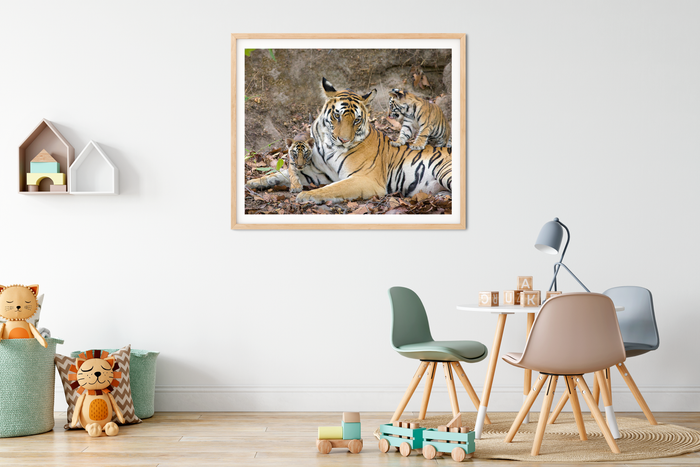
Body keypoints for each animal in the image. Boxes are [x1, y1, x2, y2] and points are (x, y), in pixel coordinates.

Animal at [246, 78, 452, 205]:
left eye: (357, 120)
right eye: (337, 116)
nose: (344, 140)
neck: (329, 146)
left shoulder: (364, 178)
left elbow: (333, 188)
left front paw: (307, 195)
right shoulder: (318, 173)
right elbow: (278, 174)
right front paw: (253, 182)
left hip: (445, 172)